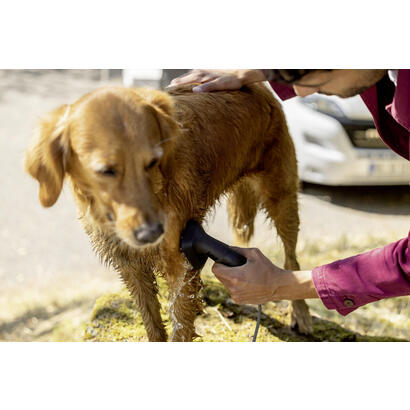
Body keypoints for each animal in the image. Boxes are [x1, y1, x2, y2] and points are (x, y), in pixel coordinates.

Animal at [25, 82, 312, 340]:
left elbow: (180, 324)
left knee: (290, 257)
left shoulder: (179, 262)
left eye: (152, 162)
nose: (152, 232)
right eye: (106, 171)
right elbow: (152, 322)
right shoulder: (130, 264)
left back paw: (300, 313)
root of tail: (257, 85)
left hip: (281, 197)